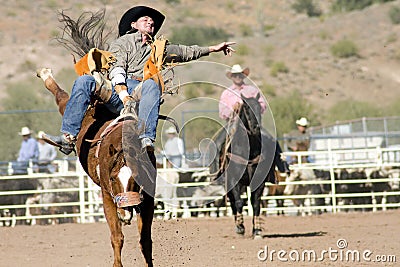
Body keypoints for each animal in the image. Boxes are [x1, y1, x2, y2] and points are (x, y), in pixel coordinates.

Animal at [212, 93, 278, 239]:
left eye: (259, 107)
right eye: (247, 109)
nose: (256, 127)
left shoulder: (259, 181)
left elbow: (256, 203)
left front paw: (257, 230)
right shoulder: (234, 181)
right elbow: (238, 202)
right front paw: (241, 228)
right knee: (233, 202)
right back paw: (238, 226)